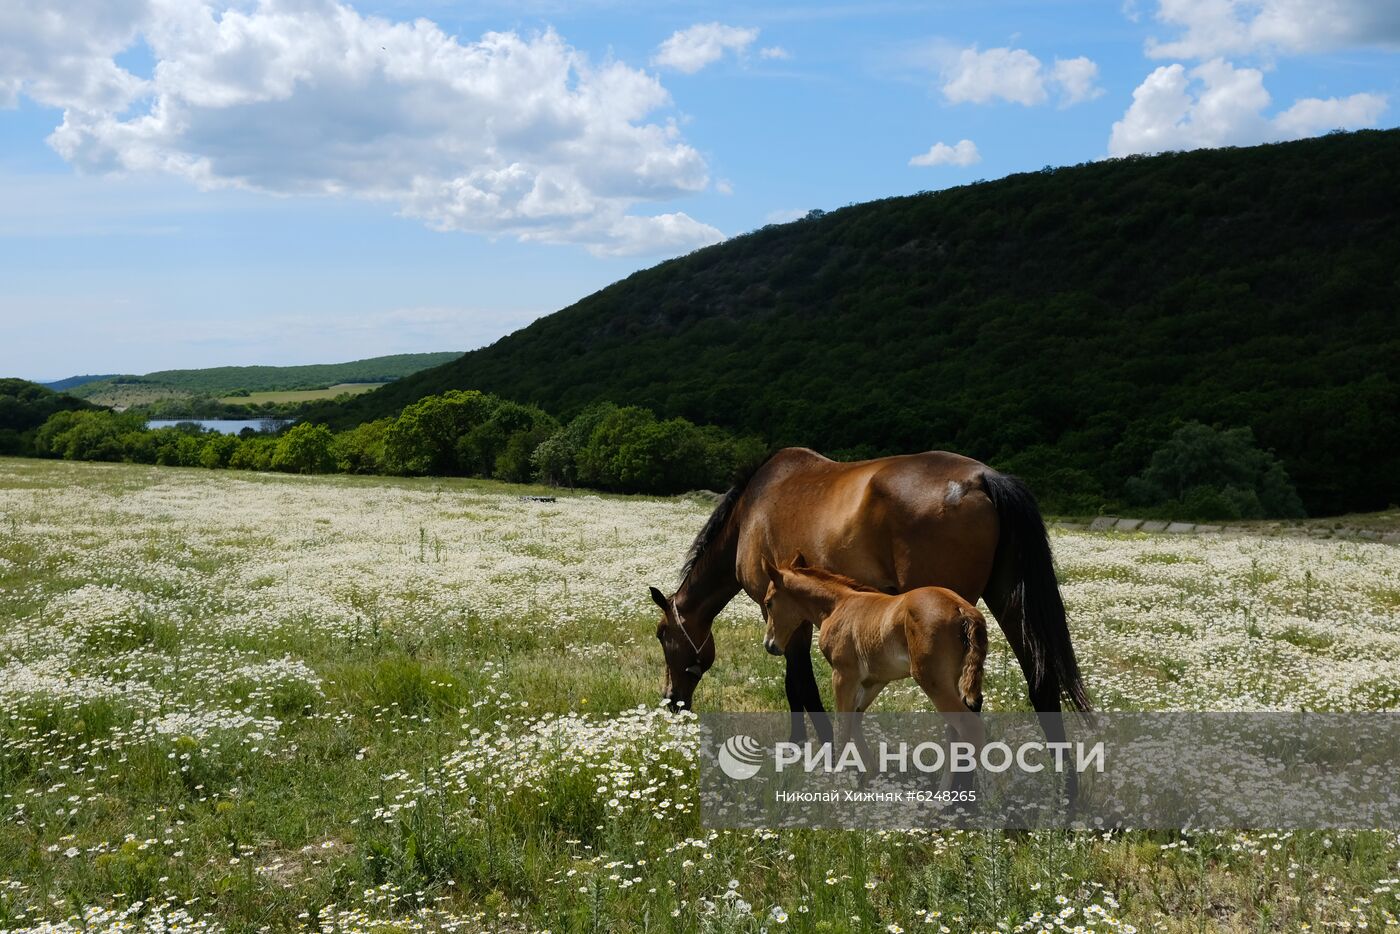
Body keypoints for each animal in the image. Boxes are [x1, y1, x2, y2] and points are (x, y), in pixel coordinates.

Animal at [646, 448, 1092, 800]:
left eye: (662, 635)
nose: (672, 701)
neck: (750, 512)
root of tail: (984, 478)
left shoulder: (783, 616)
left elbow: (798, 684)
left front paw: (811, 748)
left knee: (963, 714)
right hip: (1007, 602)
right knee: (1041, 686)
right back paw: (1066, 795)